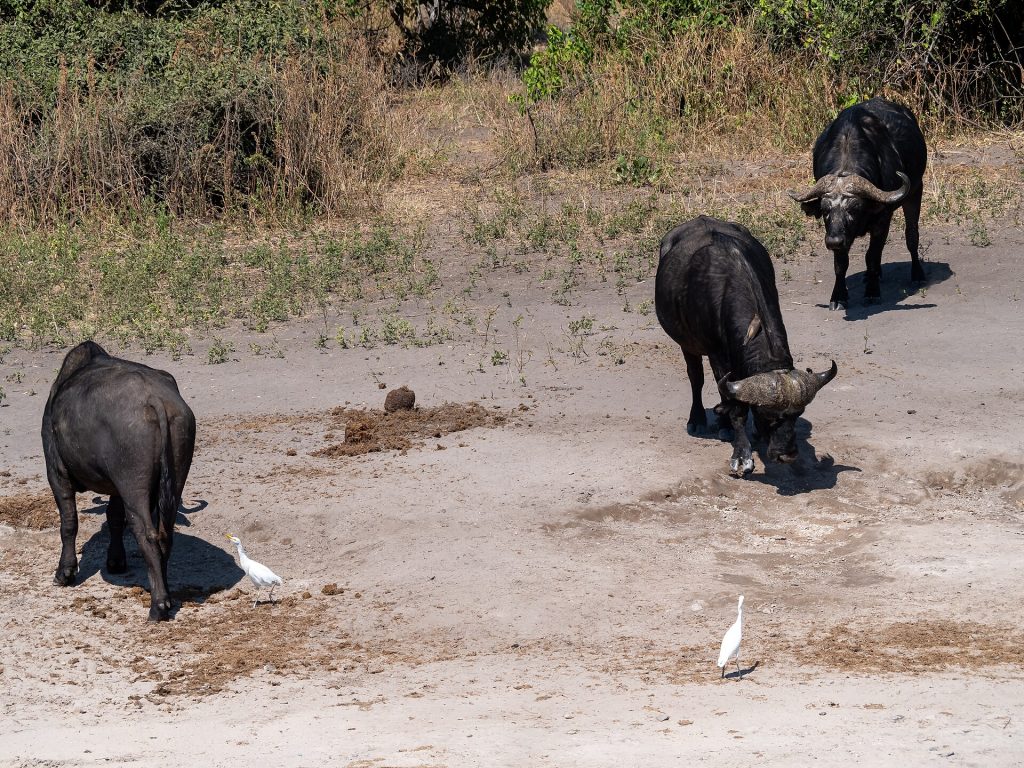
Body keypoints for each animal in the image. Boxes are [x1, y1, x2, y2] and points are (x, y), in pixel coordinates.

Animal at [41, 341, 196, 621]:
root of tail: (155, 400)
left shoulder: (56, 472)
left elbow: (69, 523)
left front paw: (64, 572)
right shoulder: (114, 488)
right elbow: (113, 518)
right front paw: (115, 561)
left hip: (132, 486)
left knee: (146, 533)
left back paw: (158, 606)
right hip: (174, 480)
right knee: (165, 534)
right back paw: (166, 593)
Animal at [655, 216, 837, 475]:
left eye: (798, 414)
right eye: (769, 416)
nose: (788, 455)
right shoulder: (717, 355)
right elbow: (735, 406)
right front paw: (742, 454)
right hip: (687, 344)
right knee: (696, 378)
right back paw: (698, 419)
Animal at [789, 97, 927, 310]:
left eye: (854, 208)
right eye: (825, 210)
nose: (833, 241)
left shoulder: (882, 220)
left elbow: (871, 256)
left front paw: (872, 292)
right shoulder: (837, 234)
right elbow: (840, 264)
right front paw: (838, 296)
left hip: (915, 191)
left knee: (911, 235)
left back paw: (917, 274)